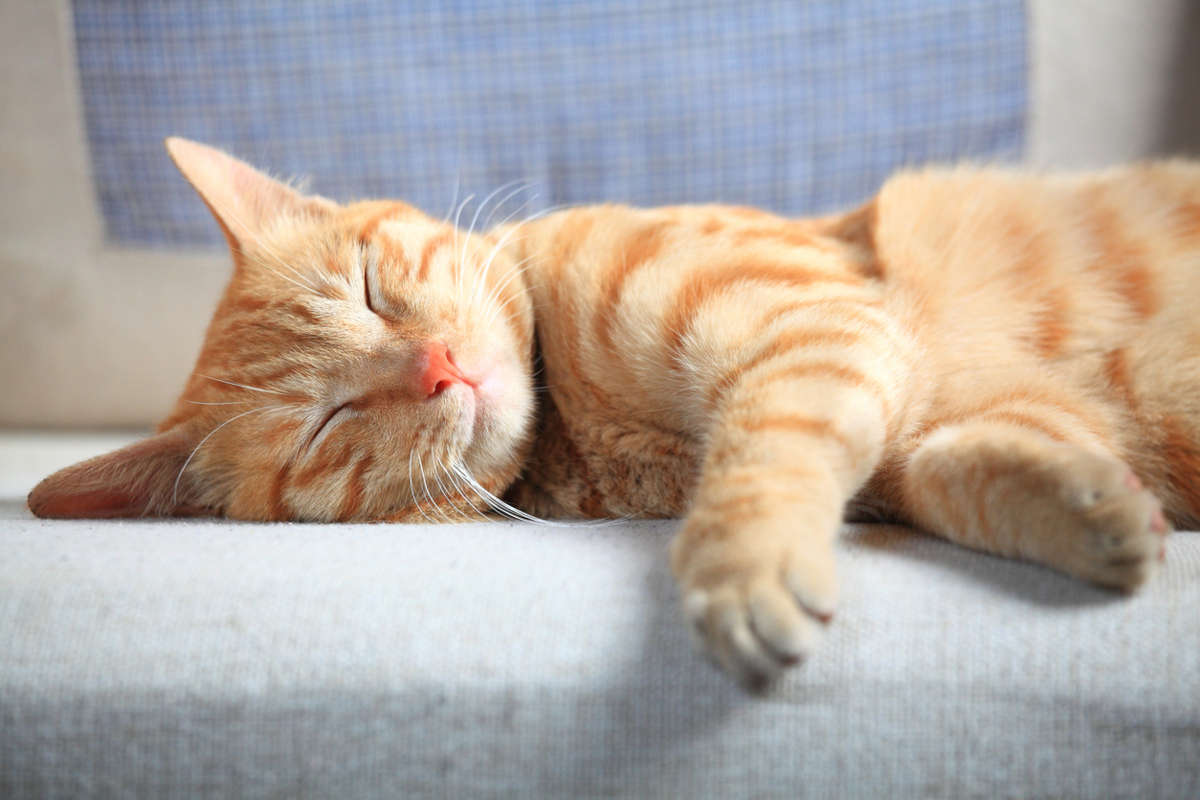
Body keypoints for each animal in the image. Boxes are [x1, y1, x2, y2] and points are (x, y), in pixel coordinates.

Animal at [28, 137, 1190, 690]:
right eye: (328, 419)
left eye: (367, 289)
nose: (440, 366)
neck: (579, 429)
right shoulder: (886, 397)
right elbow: (960, 464)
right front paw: (1094, 512)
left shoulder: (819, 327)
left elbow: (758, 466)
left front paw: (742, 572)